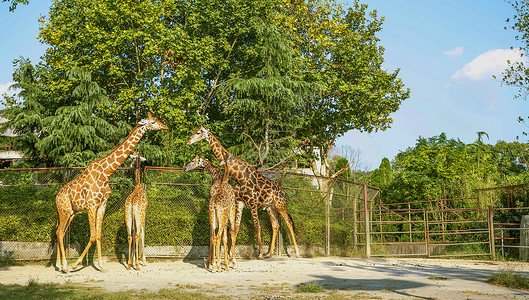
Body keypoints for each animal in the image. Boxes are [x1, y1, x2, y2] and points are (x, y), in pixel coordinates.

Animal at [54, 112, 166, 272]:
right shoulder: (91, 205)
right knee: (59, 232)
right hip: (64, 211)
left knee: (61, 232)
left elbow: (98, 235)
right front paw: (76, 263)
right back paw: (64, 265)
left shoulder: (102, 205)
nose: (165, 126)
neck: (106, 173)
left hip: (70, 212)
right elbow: (92, 236)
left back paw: (58, 264)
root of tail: (57, 197)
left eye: (157, 120)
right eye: (152, 122)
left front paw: (101, 265)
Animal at [187, 125, 300, 258]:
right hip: (270, 207)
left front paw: (259, 253)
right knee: (275, 225)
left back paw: (296, 252)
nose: (188, 141)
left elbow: (257, 226)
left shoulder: (252, 202)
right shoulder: (239, 202)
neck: (238, 175)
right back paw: (270, 253)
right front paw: (230, 254)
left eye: (198, 132)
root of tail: (282, 191)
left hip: (280, 204)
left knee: (289, 222)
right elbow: (235, 228)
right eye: (194, 131)